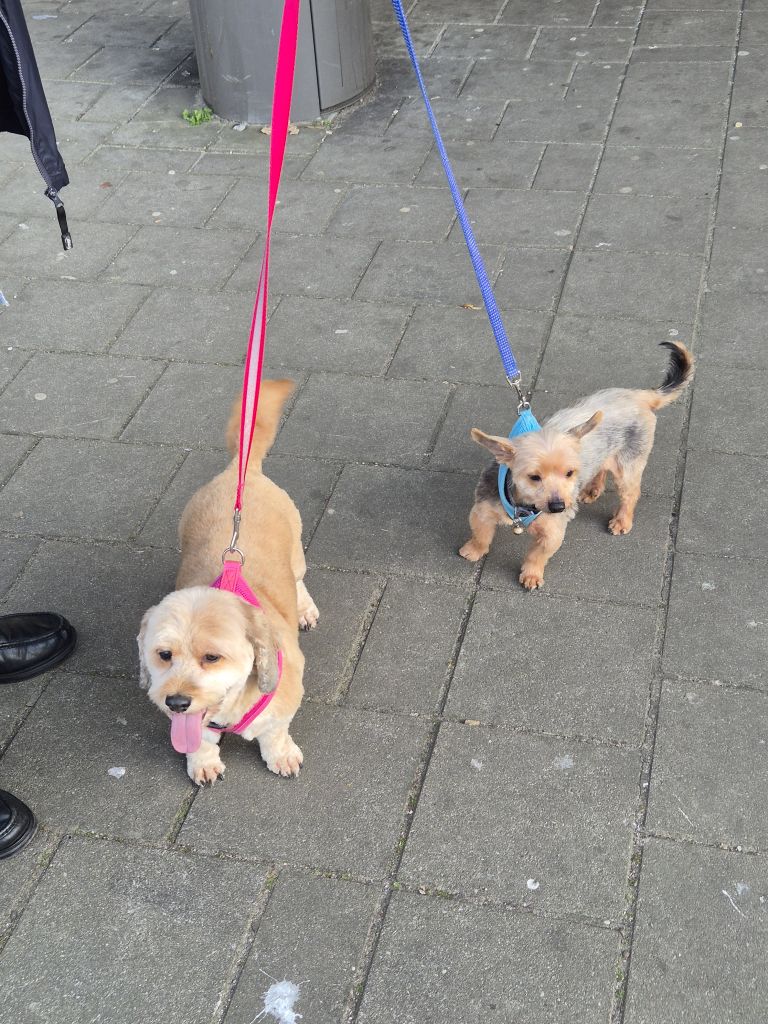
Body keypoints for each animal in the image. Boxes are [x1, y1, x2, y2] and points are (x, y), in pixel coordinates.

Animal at [137, 379, 318, 785]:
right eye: (164, 655)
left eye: (212, 657)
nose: (176, 702)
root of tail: (241, 471)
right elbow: (200, 739)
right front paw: (202, 761)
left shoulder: (285, 698)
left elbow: (275, 730)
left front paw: (280, 753)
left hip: (296, 554)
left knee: (299, 580)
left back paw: (304, 608)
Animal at [459, 341, 693, 590]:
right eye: (534, 477)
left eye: (569, 473)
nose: (559, 506)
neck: (523, 506)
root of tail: (637, 395)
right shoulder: (482, 511)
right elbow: (481, 535)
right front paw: (472, 551)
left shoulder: (553, 532)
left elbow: (537, 555)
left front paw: (532, 574)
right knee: (602, 468)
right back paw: (592, 490)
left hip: (628, 464)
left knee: (630, 493)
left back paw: (622, 520)